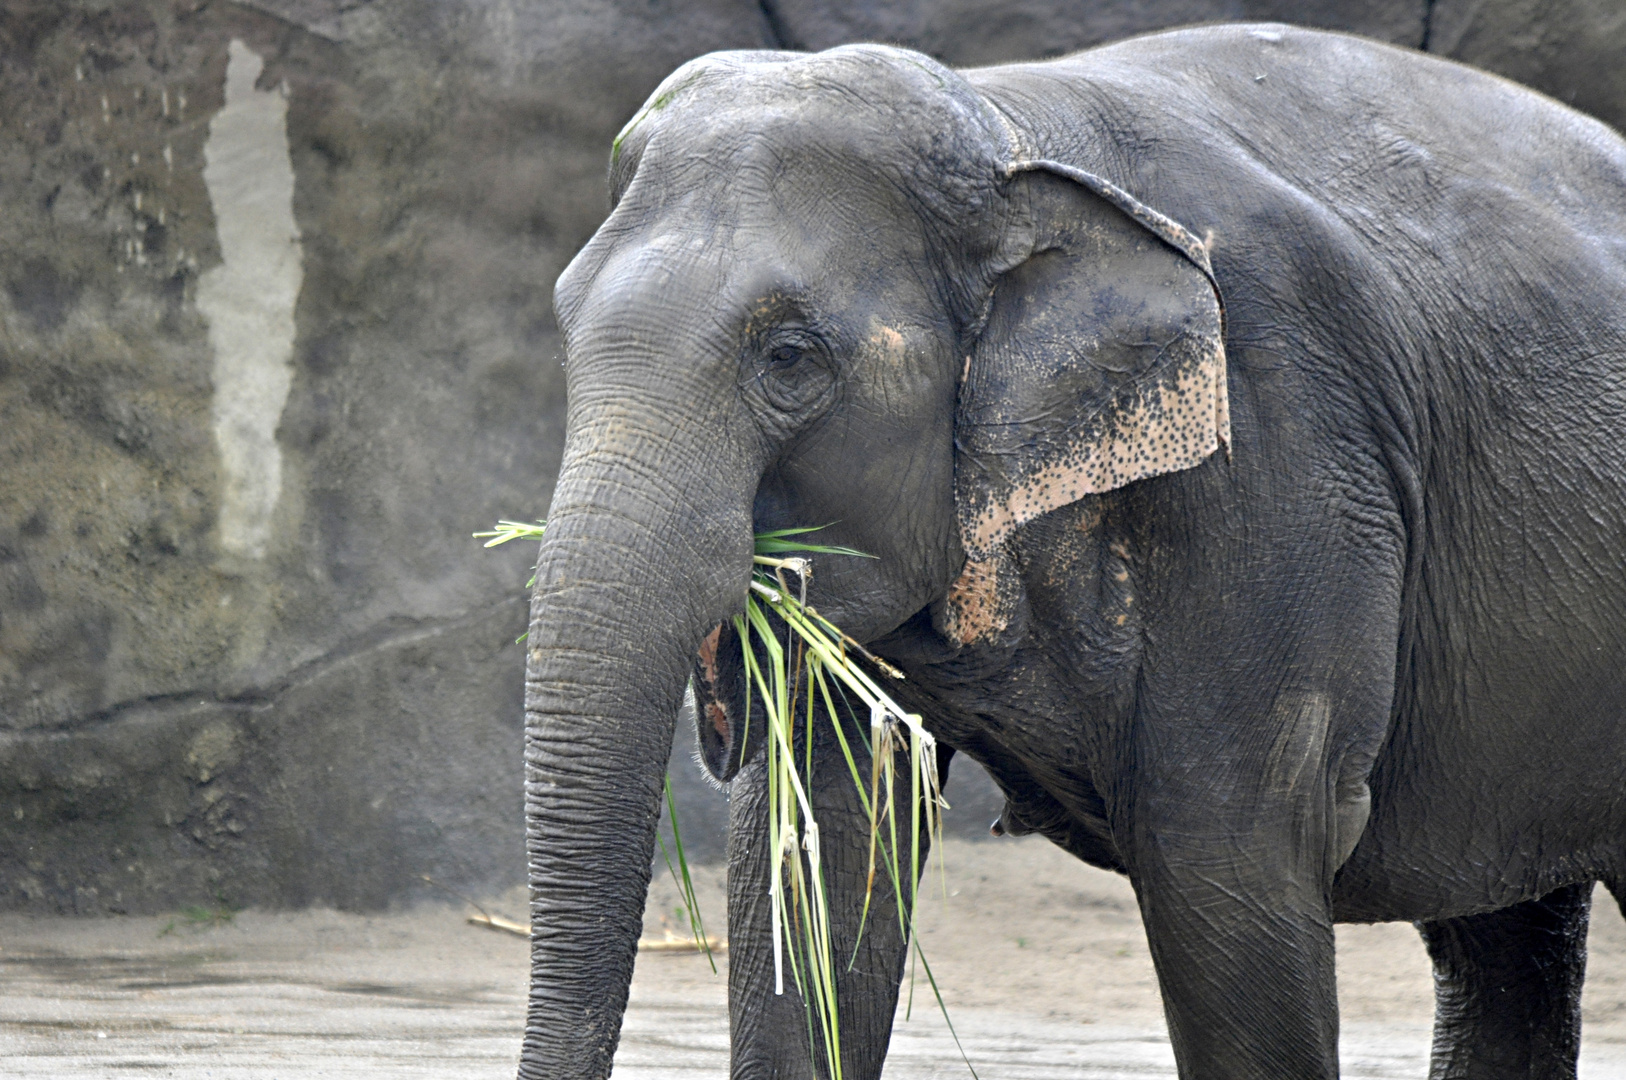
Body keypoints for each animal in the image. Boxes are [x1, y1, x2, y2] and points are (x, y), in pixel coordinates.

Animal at [517, 19, 1626, 1080]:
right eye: (564, 324)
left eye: (788, 356)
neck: (1008, 129)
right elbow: (821, 852)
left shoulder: (1281, 454)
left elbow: (1227, 857)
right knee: (1501, 941)